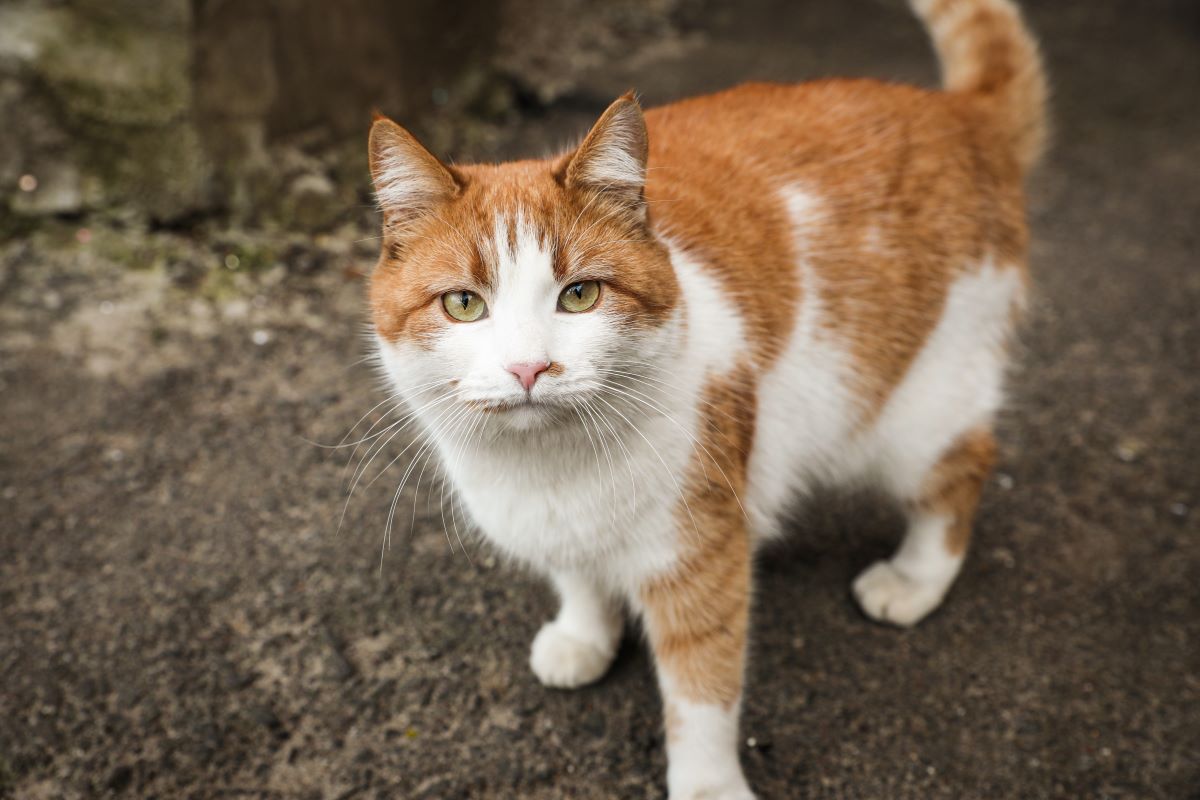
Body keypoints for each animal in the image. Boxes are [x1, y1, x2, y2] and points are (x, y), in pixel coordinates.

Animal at [360, 0, 1046, 796]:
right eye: (464, 304)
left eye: (580, 295)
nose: (529, 367)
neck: (550, 468)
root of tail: (959, 112)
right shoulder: (559, 531)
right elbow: (579, 578)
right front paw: (583, 635)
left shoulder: (702, 560)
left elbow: (701, 694)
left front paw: (708, 784)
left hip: (921, 409)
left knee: (961, 471)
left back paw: (913, 579)